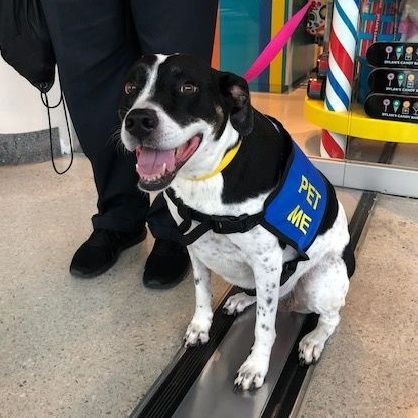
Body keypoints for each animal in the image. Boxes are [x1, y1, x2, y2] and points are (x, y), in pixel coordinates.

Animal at [119, 54, 354, 390]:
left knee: (331, 317)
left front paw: (256, 366)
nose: (137, 120)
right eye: (130, 87)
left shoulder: (267, 262)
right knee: (262, 297)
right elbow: (202, 292)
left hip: (321, 279)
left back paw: (313, 340)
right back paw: (241, 300)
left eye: (188, 87)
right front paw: (201, 326)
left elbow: (264, 327)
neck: (208, 174)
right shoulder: (195, 246)